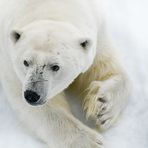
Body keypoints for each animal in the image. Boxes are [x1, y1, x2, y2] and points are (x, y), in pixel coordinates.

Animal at [0, 0, 130, 147]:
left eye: (55, 67)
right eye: (26, 62)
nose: (32, 95)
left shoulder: (98, 30)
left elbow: (108, 67)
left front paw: (102, 108)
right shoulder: (9, 60)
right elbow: (44, 109)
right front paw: (91, 142)